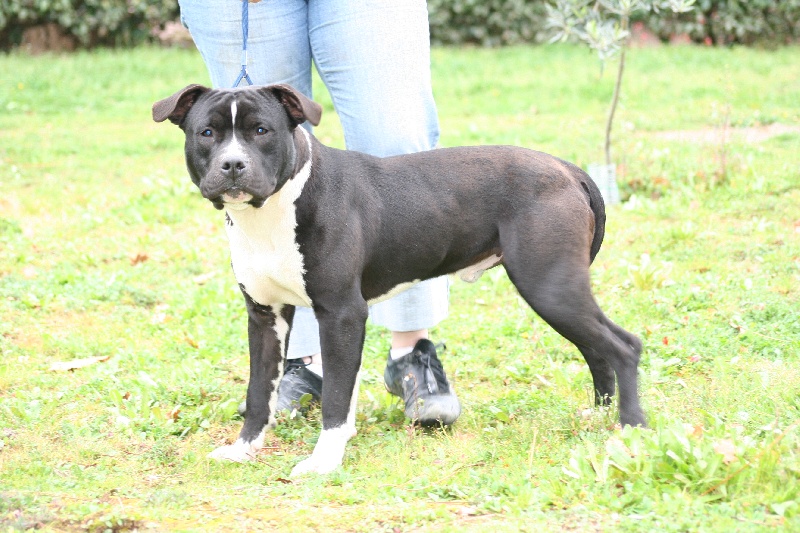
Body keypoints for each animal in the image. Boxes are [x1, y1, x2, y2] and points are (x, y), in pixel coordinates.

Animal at [152, 84, 646, 476]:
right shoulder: (265, 316)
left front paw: (323, 461)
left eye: (261, 131)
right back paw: (599, 415)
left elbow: (335, 397)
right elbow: (262, 392)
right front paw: (244, 450)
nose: (233, 165)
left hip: (549, 285)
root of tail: (568, 168)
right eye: (207, 133)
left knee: (622, 345)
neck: (275, 208)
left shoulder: (342, 313)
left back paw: (631, 429)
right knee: (595, 349)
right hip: (557, 290)